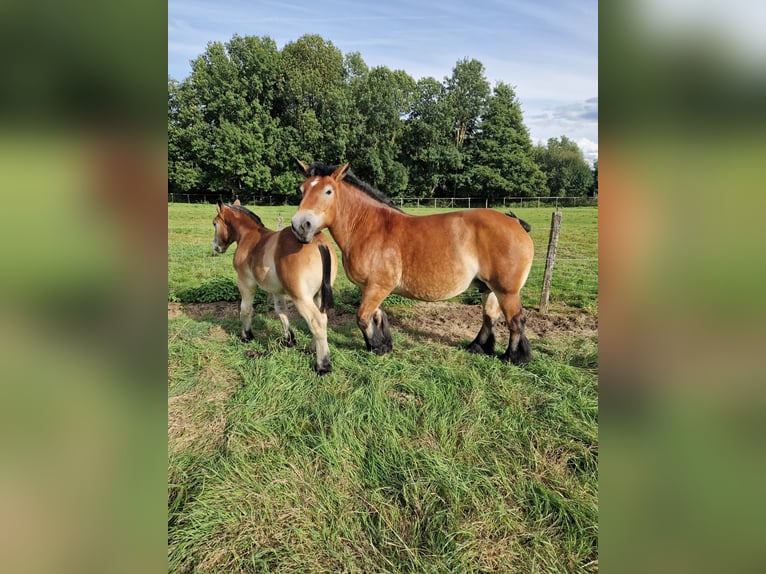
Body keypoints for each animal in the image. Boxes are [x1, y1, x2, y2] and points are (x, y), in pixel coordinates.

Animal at [213, 200, 340, 376]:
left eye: (214, 223)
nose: (216, 247)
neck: (249, 236)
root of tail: (320, 242)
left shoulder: (246, 283)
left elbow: (245, 309)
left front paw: (246, 336)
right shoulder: (276, 290)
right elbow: (281, 312)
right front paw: (289, 340)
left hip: (301, 298)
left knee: (317, 321)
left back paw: (323, 366)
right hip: (318, 295)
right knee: (323, 318)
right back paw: (311, 348)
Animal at [292, 161, 536, 368]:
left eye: (328, 191)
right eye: (302, 190)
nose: (300, 225)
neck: (369, 227)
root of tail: (515, 222)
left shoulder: (377, 287)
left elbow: (362, 317)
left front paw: (376, 346)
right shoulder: (370, 287)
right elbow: (377, 316)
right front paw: (384, 345)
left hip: (506, 291)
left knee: (516, 320)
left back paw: (513, 357)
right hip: (489, 288)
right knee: (489, 317)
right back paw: (477, 347)